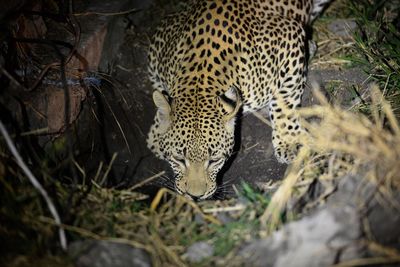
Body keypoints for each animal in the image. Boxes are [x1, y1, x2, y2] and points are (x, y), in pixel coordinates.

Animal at [147, 0, 332, 201]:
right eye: (179, 159)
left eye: (214, 160)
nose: (195, 196)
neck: (200, 74)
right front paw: (156, 134)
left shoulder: (290, 37)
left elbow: (286, 101)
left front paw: (290, 141)